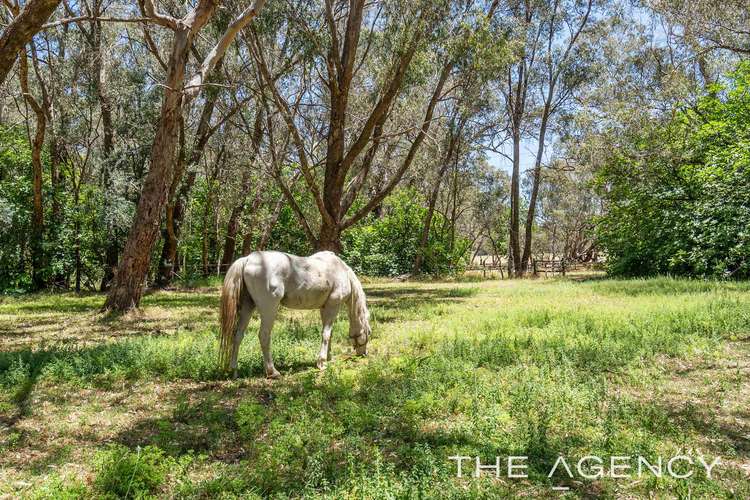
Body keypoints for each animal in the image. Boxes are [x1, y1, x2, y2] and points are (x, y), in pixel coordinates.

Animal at [219, 250, 372, 378]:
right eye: (369, 333)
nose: (363, 353)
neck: (341, 271)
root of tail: (249, 259)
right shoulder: (332, 306)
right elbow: (326, 334)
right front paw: (322, 363)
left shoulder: (324, 308)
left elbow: (329, 334)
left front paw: (328, 358)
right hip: (269, 309)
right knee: (264, 336)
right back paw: (272, 371)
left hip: (248, 306)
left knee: (238, 335)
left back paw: (234, 370)